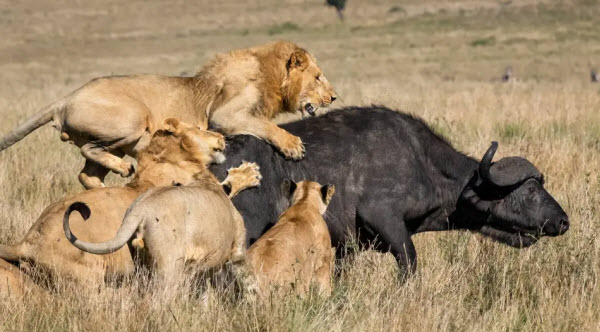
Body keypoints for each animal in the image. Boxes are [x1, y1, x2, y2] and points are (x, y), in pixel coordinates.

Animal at [0, 40, 338, 188]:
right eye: (318, 77)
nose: (334, 97)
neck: (272, 77)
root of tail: (65, 98)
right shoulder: (223, 115)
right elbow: (265, 125)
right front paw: (293, 146)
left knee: (86, 173)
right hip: (134, 118)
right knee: (90, 149)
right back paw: (124, 170)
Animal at [62, 162, 262, 284]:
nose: (255, 174)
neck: (206, 183)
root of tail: (141, 208)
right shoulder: (237, 250)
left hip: (142, 263)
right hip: (169, 267)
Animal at [210, 106, 568, 274]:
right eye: (532, 188)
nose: (563, 221)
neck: (424, 162)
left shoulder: (345, 246)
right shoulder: (385, 219)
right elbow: (409, 262)